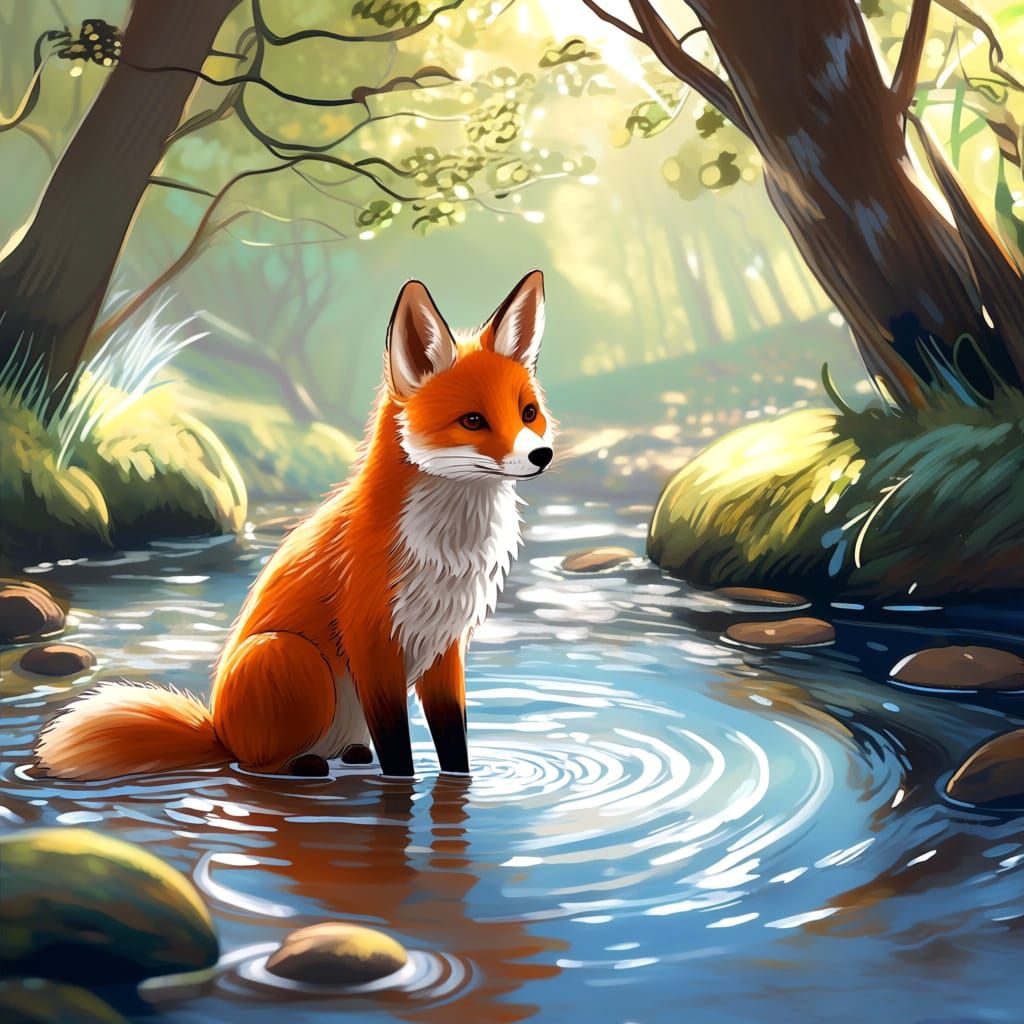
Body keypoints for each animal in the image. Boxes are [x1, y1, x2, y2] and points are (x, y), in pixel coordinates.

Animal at [36, 270, 554, 781]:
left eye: (527, 413)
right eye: (473, 420)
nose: (542, 455)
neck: (448, 548)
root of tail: (218, 728)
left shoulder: (445, 647)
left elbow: (453, 744)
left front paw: (464, 784)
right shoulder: (373, 645)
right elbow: (398, 753)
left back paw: (349, 756)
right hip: (293, 658)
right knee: (253, 763)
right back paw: (301, 765)